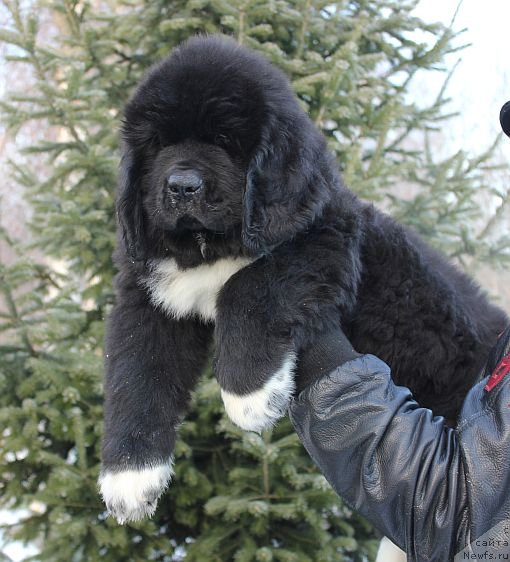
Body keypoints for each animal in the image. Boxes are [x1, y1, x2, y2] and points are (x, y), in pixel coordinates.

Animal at [97, 35, 508, 524]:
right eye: (158, 144)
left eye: (224, 140)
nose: (181, 186)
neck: (208, 247)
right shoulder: (149, 295)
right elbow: (135, 373)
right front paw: (129, 476)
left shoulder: (324, 239)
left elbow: (245, 286)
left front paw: (249, 395)